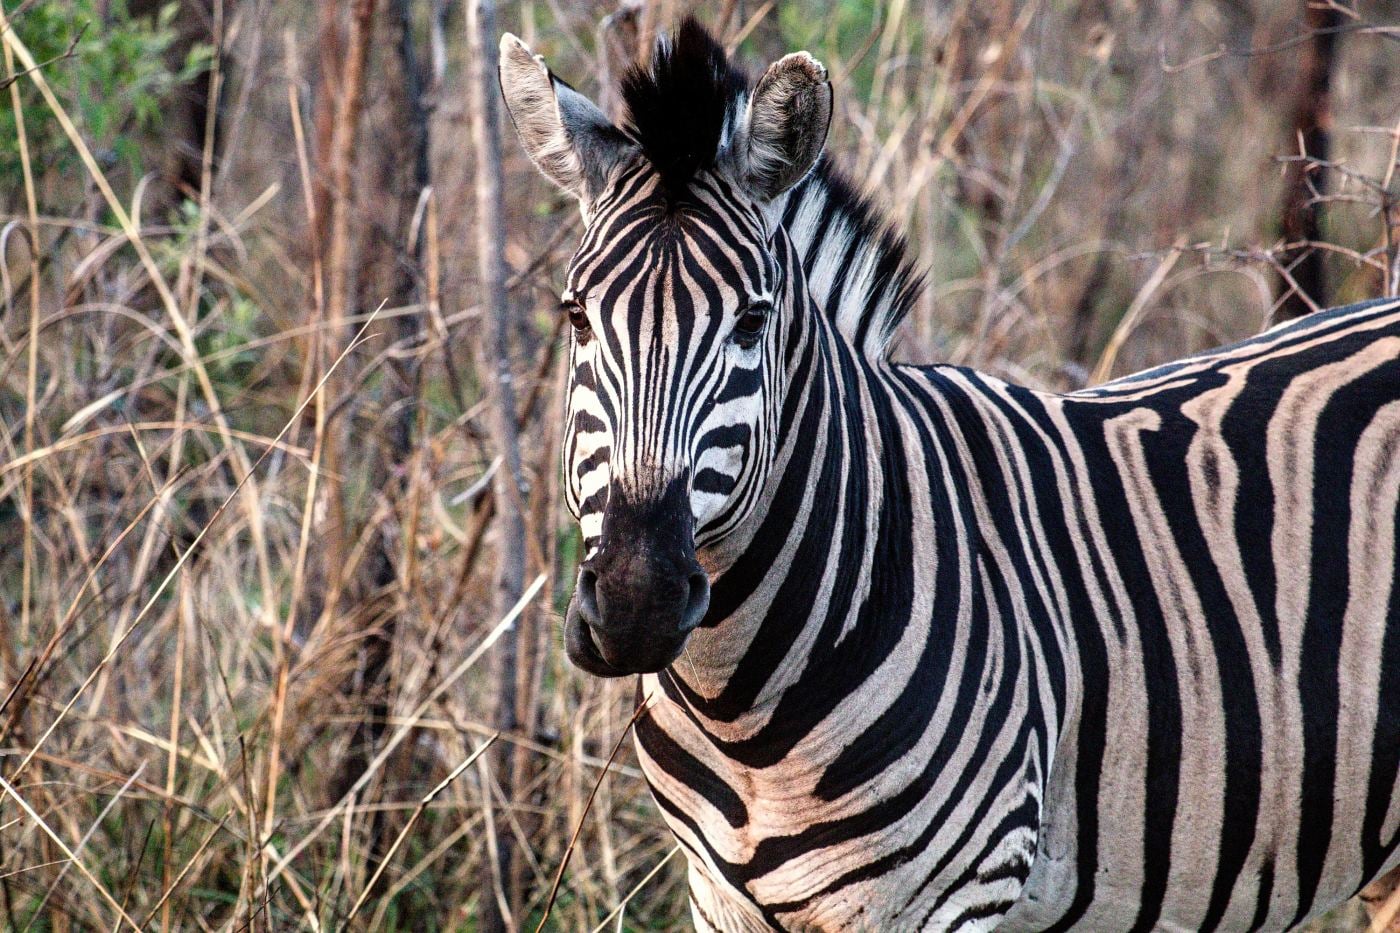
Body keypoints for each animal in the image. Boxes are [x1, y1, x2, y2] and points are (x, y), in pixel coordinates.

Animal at [498, 18, 1400, 931]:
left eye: (752, 321)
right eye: (576, 315)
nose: (635, 604)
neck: (740, 706)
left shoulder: (950, 897)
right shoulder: (716, 897)